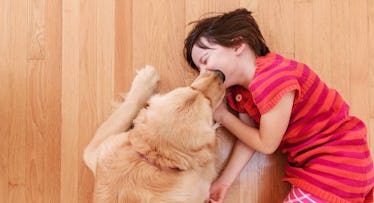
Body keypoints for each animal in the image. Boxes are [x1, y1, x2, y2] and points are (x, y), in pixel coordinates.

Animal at [83, 66, 225, 202]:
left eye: (192, 88)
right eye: (209, 103)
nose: (220, 74)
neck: (153, 154)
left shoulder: (94, 152)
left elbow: (128, 107)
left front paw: (145, 79)